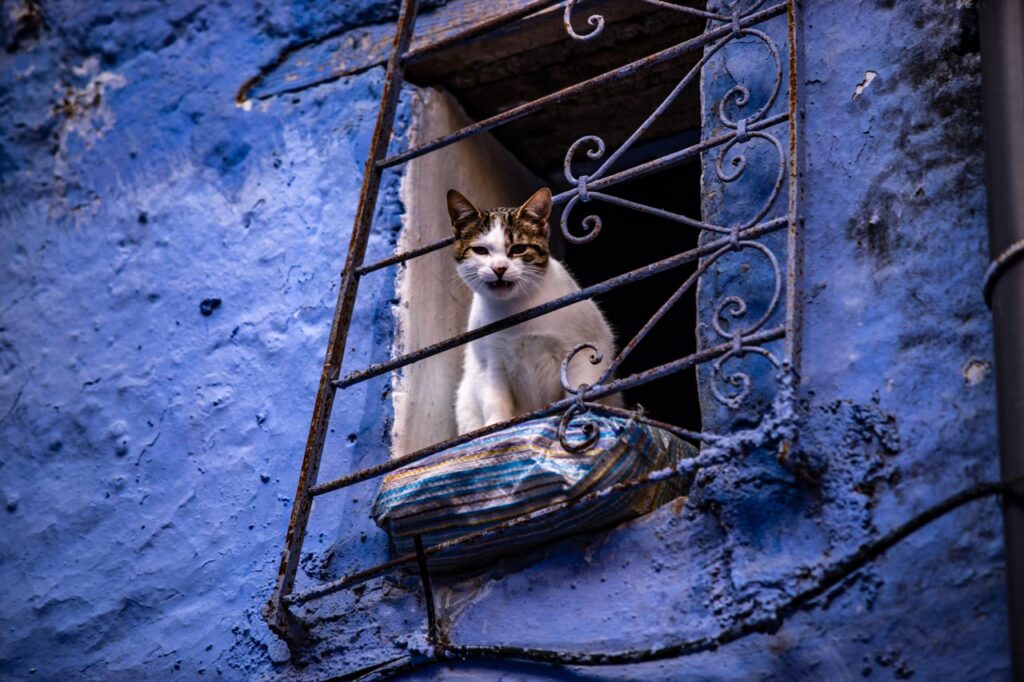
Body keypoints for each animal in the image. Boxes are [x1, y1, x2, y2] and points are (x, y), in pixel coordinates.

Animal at [448, 186, 622, 432]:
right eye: (480, 250)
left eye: (519, 249)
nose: (499, 268)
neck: (517, 310)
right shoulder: (489, 363)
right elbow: (494, 400)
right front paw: (496, 426)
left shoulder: (582, 350)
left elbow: (579, 385)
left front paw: (576, 416)